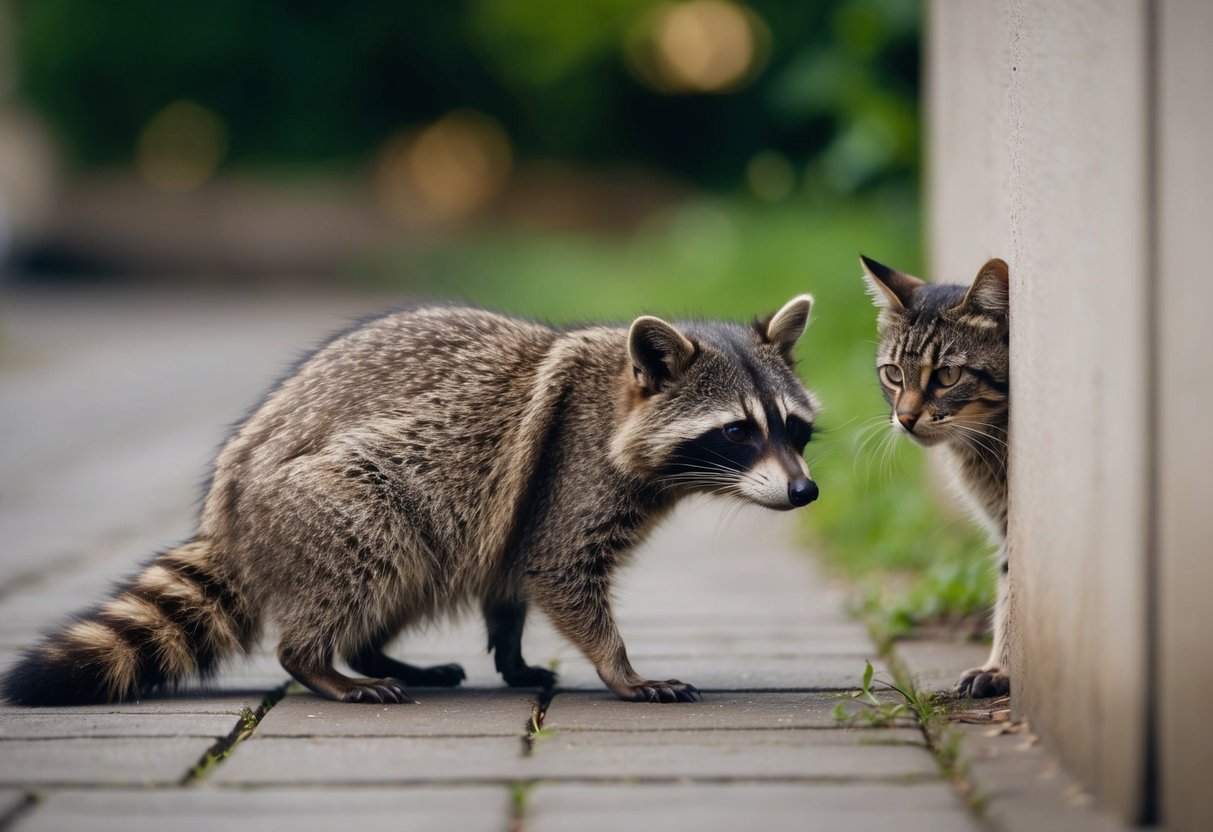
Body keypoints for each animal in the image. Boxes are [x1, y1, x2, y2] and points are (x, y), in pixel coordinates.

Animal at [3, 297, 821, 706]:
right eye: (738, 432)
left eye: (794, 428)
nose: (805, 490)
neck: (623, 397)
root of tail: (227, 517)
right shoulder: (572, 474)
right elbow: (561, 570)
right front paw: (619, 668)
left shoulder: (521, 505)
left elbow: (512, 575)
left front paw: (512, 653)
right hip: (328, 502)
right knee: (374, 549)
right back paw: (322, 665)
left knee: (403, 574)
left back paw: (374, 651)